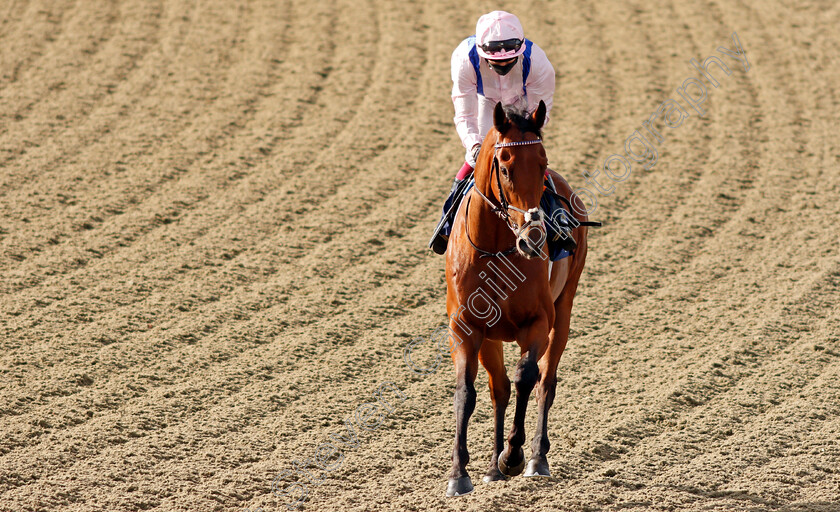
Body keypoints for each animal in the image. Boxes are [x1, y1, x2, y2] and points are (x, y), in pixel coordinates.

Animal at [442, 100, 588, 496]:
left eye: (542, 162)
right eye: (504, 166)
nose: (533, 238)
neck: (496, 249)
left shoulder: (537, 323)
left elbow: (527, 377)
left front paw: (514, 456)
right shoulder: (465, 327)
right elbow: (468, 392)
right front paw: (460, 474)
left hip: (563, 310)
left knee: (545, 383)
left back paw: (536, 458)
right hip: (491, 336)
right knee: (500, 389)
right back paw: (492, 467)